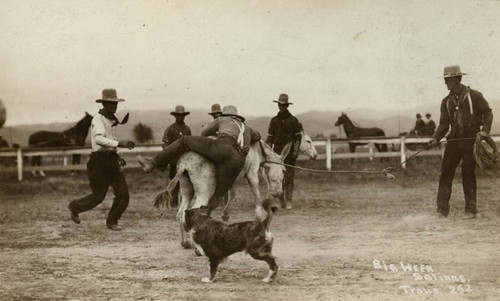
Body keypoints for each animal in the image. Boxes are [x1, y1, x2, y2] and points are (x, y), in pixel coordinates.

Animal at [154, 139, 292, 247]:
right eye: (284, 171)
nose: (278, 194)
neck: (258, 149)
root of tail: (185, 163)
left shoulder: (231, 178)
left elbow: (231, 194)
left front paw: (225, 216)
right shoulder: (251, 174)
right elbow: (257, 198)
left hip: (187, 190)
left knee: (180, 214)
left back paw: (185, 242)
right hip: (204, 192)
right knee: (193, 212)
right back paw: (196, 246)